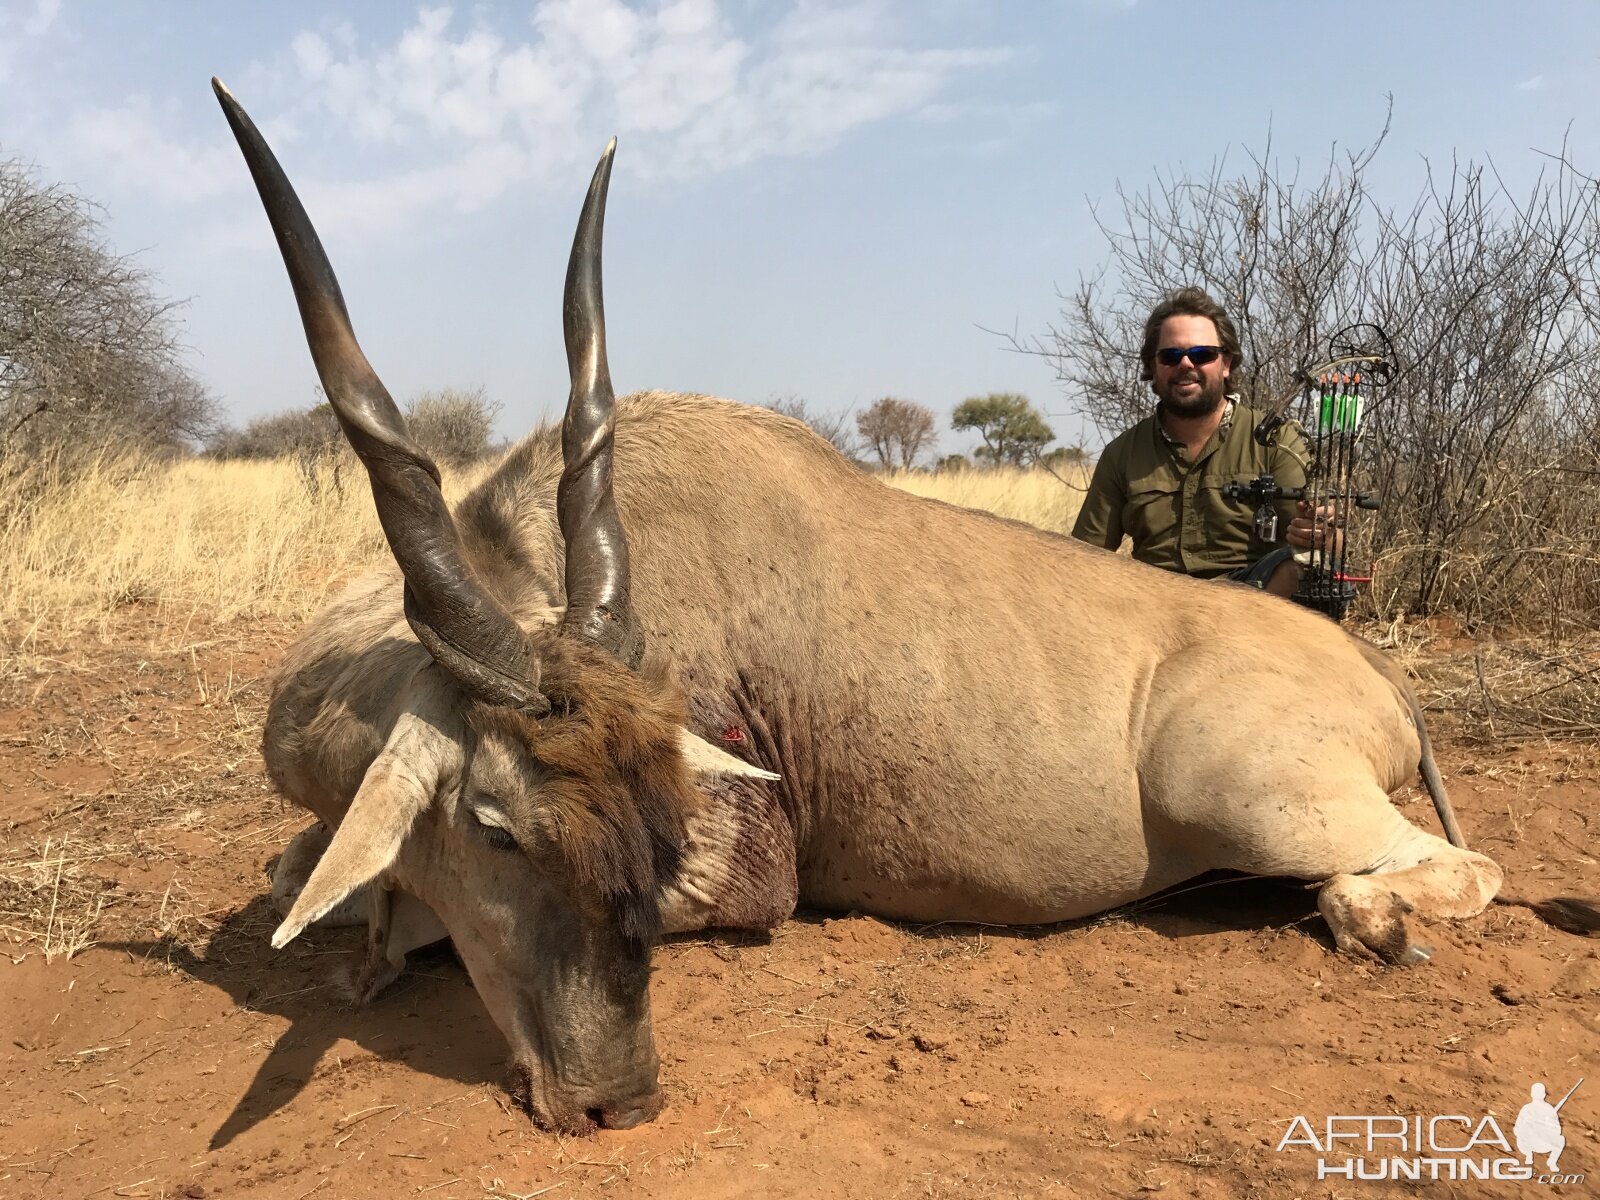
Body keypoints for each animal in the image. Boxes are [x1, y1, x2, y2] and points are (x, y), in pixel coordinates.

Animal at [216, 84, 1600, 1139]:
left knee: (1439, 869)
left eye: (657, 825)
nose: (615, 1101)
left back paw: (1379, 922)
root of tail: (1380, 678)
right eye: (496, 828)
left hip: (1255, 797)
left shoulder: (741, 872)